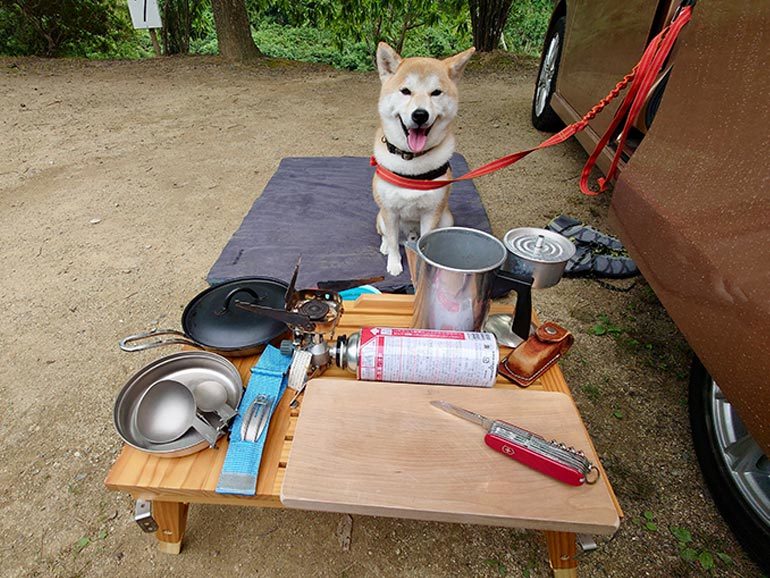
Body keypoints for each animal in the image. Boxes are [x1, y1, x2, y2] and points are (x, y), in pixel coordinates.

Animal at [372, 41, 474, 276]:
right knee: (387, 236)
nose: (420, 114)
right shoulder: (390, 212)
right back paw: (384, 246)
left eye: (435, 93)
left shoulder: (431, 213)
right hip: (380, 216)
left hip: (446, 217)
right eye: (405, 91)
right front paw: (394, 264)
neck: (411, 161)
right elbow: (392, 242)